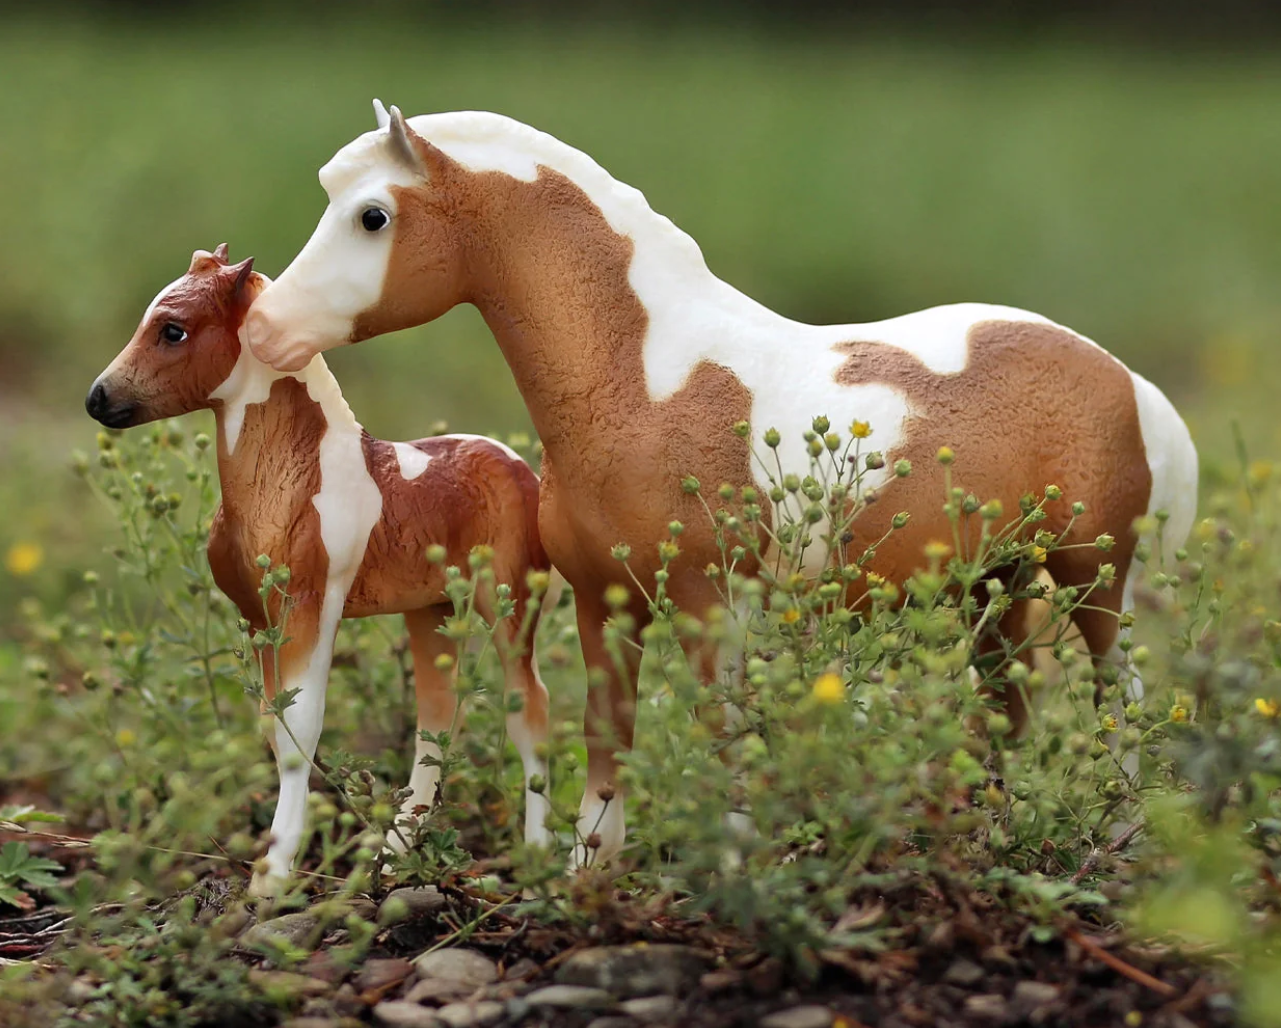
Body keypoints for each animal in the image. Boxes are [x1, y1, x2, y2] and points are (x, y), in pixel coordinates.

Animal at [86, 244, 555, 892]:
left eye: (172, 330)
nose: (98, 398)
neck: (297, 479)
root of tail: (520, 466)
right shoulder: (258, 618)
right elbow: (272, 725)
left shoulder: (312, 607)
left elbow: (299, 730)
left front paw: (273, 876)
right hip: (430, 609)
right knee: (436, 720)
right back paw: (393, 856)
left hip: (507, 606)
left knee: (528, 710)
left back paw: (546, 859)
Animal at [242, 103, 1199, 861]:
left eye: (372, 216)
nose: (262, 328)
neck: (647, 379)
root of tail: (1123, 378)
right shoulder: (602, 601)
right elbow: (608, 730)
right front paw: (590, 872)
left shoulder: (713, 604)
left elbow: (721, 732)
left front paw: (730, 867)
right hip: (993, 581)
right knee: (1005, 699)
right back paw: (990, 837)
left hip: (1091, 574)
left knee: (1118, 694)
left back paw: (1119, 837)